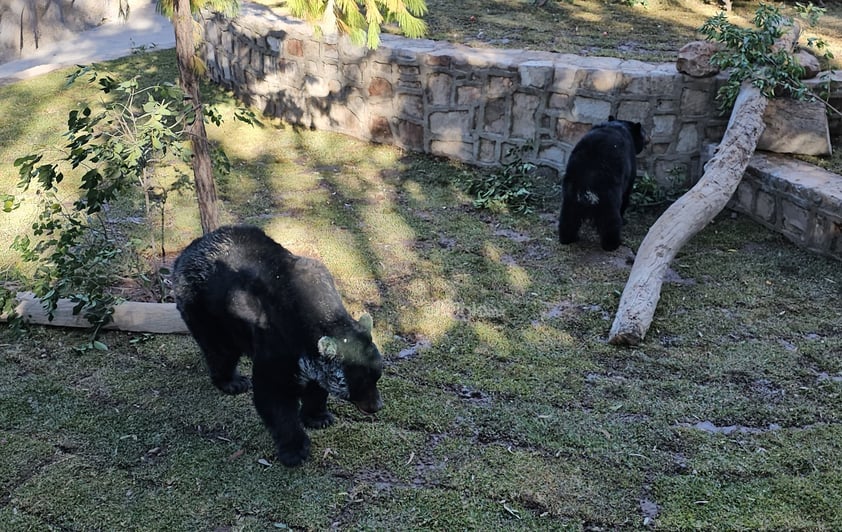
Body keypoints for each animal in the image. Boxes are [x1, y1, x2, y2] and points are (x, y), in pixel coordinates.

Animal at [172, 224, 382, 466]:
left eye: (377, 376)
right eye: (359, 382)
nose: (377, 405)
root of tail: (183, 254)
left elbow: (317, 385)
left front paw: (319, 417)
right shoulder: (277, 339)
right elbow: (274, 394)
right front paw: (295, 450)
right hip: (205, 307)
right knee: (221, 350)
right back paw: (232, 382)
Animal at [556, 116, 648, 251]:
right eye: (643, 134)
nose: (647, 139)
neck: (619, 124)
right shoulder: (630, 167)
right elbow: (627, 193)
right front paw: (624, 219)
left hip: (570, 190)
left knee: (568, 216)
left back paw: (567, 238)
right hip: (609, 192)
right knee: (611, 219)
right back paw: (612, 244)